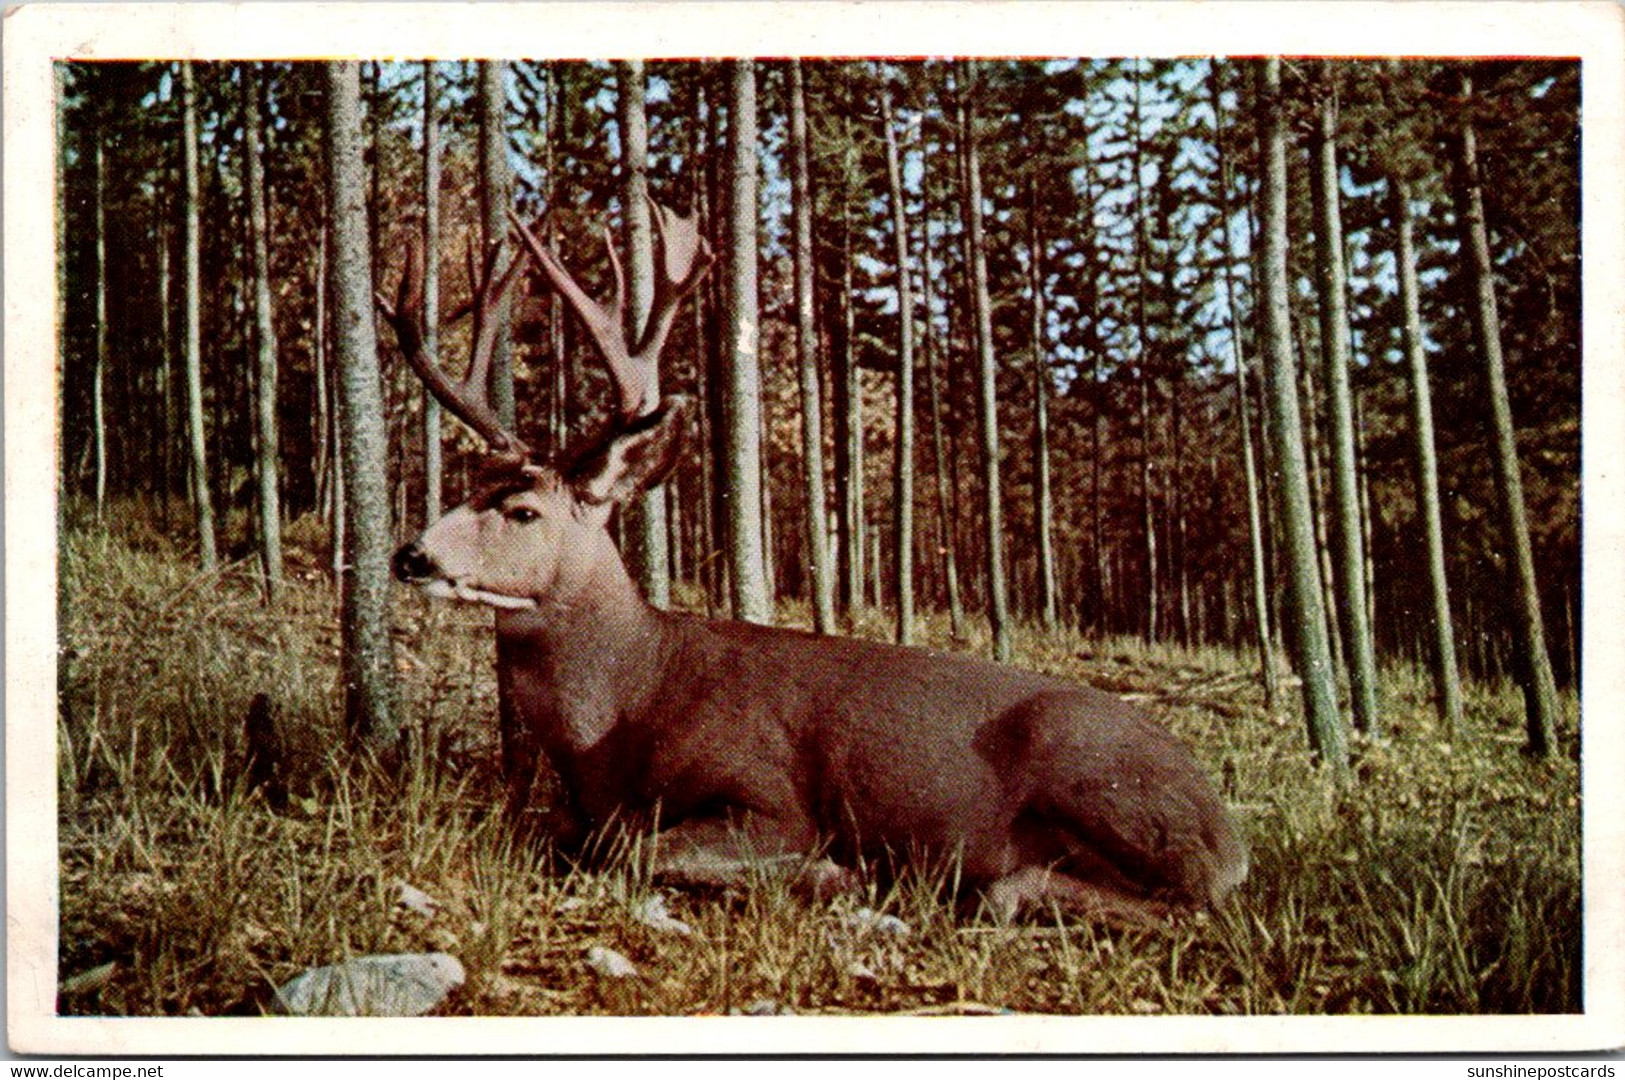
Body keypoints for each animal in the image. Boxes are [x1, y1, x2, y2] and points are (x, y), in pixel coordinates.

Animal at [386, 199, 1248, 915]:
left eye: (522, 510)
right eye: (469, 484)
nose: (411, 556)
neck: (625, 704)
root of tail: (1228, 831)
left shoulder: (768, 792)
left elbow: (633, 847)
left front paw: (835, 873)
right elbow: (570, 834)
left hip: (1097, 780)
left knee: (1190, 902)